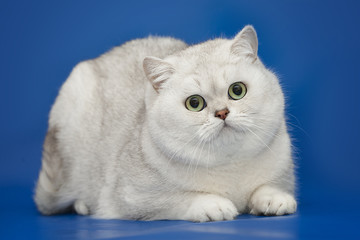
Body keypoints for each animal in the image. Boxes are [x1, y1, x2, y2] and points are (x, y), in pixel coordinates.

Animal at [35, 24, 296, 221]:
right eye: (194, 103)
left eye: (237, 90)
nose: (222, 113)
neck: (230, 167)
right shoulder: (131, 198)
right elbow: (179, 198)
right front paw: (214, 204)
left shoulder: (282, 173)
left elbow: (267, 187)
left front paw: (275, 198)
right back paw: (82, 205)